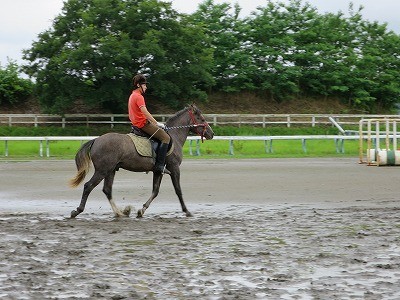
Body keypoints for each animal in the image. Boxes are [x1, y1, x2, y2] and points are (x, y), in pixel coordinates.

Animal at [69, 104, 214, 219]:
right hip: (102, 170)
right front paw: (187, 211)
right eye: (201, 119)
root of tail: (96, 140)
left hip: (110, 170)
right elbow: (178, 190)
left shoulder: (158, 171)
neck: (174, 136)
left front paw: (141, 210)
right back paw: (77, 211)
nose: (211, 134)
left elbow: (155, 191)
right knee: (88, 186)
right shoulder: (174, 168)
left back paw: (120, 213)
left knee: (107, 190)